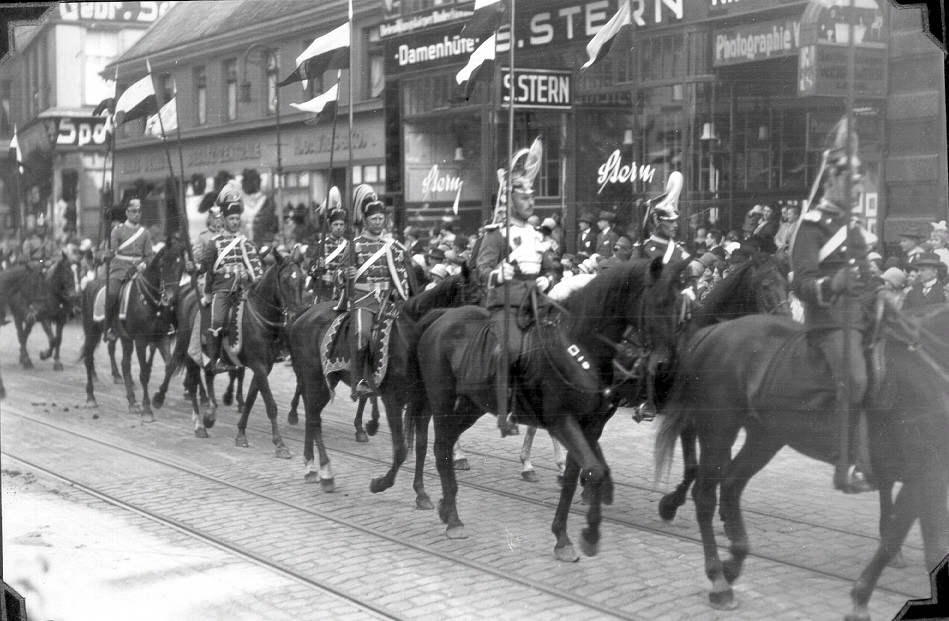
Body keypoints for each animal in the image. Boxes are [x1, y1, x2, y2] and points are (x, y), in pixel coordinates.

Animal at [79, 240, 185, 418]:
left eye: (182, 265)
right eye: (164, 264)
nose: (172, 298)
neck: (151, 301)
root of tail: (92, 283)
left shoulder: (161, 338)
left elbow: (170, 366)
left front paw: (158, 398)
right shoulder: (141, 341)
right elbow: (144, 373)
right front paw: (147, 409)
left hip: (126, 338)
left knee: (125, 364)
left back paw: (131, 401)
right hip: (92, 332)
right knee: (88, 359)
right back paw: (90, 397)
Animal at [155, 249, 304, 452]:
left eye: (301, 279)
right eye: (287, 280)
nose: (296, 315)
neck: (260, 317)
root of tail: (188, 295)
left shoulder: (263, 367)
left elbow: (250, 400)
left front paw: (241, 433)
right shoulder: (259, 366)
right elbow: (270, 405)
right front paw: (280, 444)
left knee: (208, 374)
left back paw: (210, 414)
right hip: (187, 348)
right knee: (188, 379)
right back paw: (198, 423)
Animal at [286, 264, 482, 492]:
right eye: (475, 298)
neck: (413, 336)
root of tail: (304, 314)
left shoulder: (423, 402)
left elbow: (421, 446)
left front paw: (420, 491)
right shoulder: (393, 400)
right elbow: (400, 449)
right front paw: (381, 483)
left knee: (312, 415)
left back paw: (311, 466)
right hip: (316, 380)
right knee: (314, 418)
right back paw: (325, 472)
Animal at [404, 256, 684, 556]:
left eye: (680, 306)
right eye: (658, 302)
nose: (665, 363)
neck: (579, 345)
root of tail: (442, 316)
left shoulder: (589, 424)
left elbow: (581, 473)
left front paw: (564, 536)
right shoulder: (562, 420)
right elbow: (592, 469)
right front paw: (588, 533)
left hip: (469, 406)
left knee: (443, 443)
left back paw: (446, 507)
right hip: (442, 401)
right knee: (439, 446)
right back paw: (453, 518)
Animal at [656, 306, 948, 620]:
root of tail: (715, 331)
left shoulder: (930, 477)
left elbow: (927, 541)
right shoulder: (923, 472)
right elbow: (896, 536)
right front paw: (860, 600)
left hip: (765, 437)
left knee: (732, 484)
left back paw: (733, 562)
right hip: (718, 430)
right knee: (705, 497)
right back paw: (719, 581)